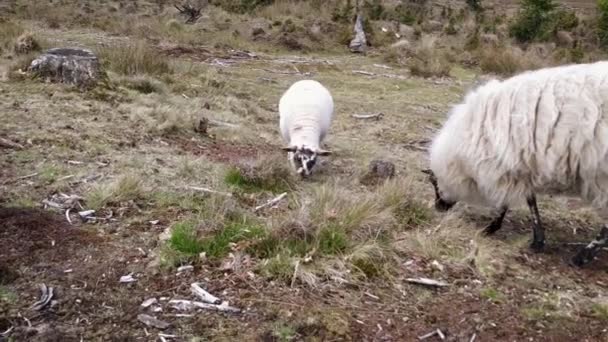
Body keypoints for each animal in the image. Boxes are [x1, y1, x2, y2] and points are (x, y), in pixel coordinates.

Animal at [422, 60, 608, 266]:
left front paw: (493, 228)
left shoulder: (504, 166)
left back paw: (582, 256)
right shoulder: (521, 166)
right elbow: (529, 199)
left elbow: (510, 201)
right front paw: (537, 239)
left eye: (434, 182)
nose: (438, 208)